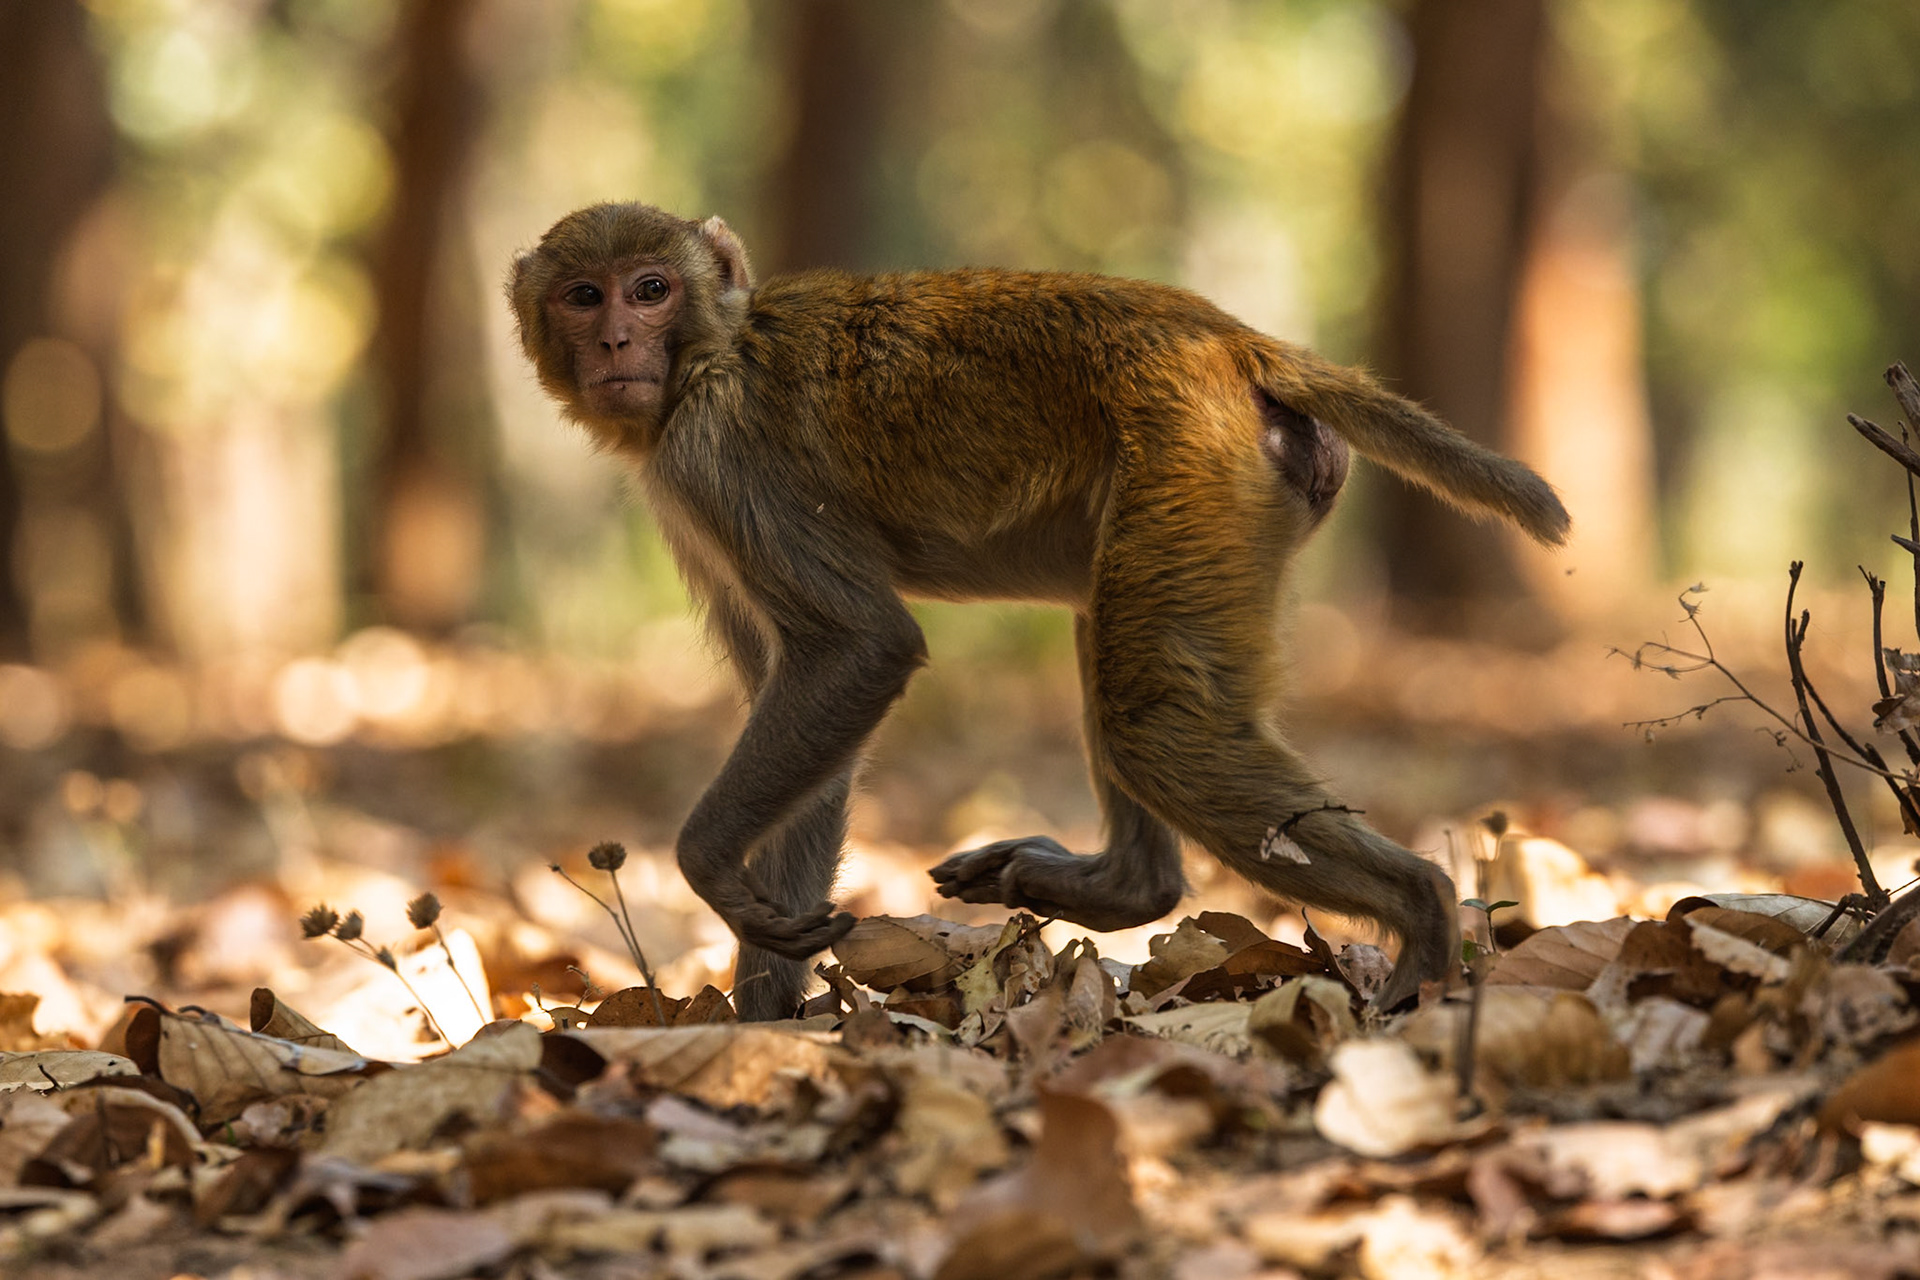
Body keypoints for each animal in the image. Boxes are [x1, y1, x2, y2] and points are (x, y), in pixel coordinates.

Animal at [508, 202, 1569, 1021]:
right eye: (584, 295)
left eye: (650, 289)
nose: (615, 342)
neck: (713, 350)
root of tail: (1227, 337)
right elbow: (809, 686)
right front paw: (764, 1016)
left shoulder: (716, 453)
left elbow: (858, 649)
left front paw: (711, 870)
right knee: (1117, 645)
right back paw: (1127, 885)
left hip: (1191, 456)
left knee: (1157, 725)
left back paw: (1420, 917)